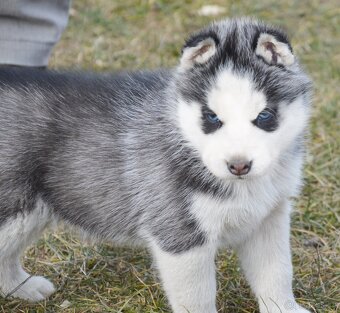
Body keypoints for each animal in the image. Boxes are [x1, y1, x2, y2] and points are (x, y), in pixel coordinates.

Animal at [0, 18, 312, 310]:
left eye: (264, 116)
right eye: (211, 117)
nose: (238, 166)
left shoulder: (269, 219)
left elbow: (277, 273)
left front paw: (285, 309)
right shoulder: (180, 236)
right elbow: (198, 297)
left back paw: (22, 287)